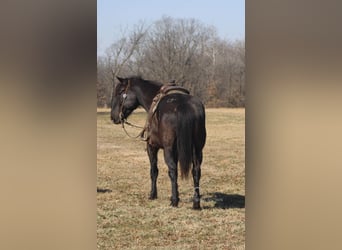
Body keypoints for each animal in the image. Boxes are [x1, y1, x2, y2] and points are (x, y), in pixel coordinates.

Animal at [110, 76, 206, 209]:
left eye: (120, 92)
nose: (113, 117)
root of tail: (183, 105)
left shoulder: (151, 147)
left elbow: (154, 171)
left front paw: (153, 194)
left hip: (168, 149)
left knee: (173, 170)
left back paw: (174, 201)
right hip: (197, 149)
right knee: (196, 171)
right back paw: (196, 202)